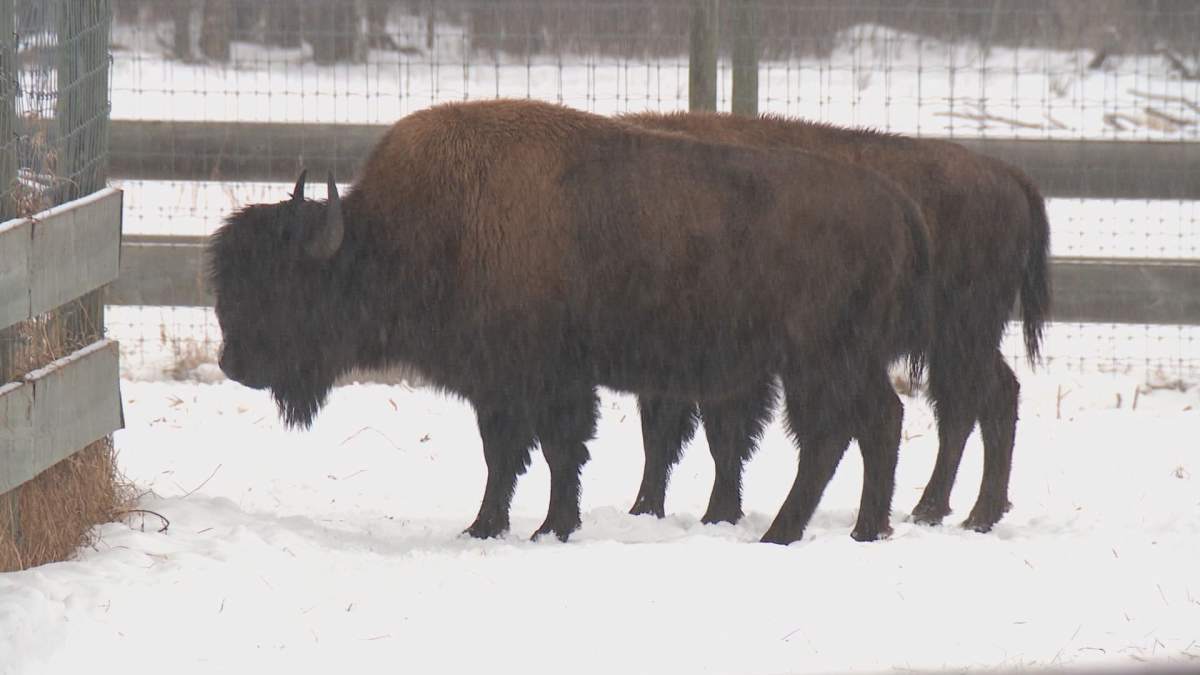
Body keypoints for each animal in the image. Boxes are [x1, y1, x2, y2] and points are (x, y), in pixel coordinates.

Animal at [209, 99, 932, 544]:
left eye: (284, 285)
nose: (233, 364)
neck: (403, 233)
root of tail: (898, 204)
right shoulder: (496, 386)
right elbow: (504, 455)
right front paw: (484, 526)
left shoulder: (550, 380)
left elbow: (557, 451)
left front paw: (550, 527)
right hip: (843, 362)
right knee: (876, 422)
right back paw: (865, 529)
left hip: (821, 360)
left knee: (833, 434)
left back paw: (786, 532)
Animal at [620, 110, 1051, 532]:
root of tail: (1008, 176)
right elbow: (662, 434)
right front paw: (646, 510)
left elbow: (717, 436)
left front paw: (714, 514)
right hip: (962, 341)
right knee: (988, 397)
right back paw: (952, 513)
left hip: (960, 337)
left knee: (966, 404)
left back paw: (955, 513)